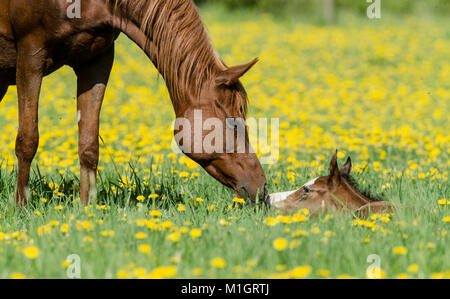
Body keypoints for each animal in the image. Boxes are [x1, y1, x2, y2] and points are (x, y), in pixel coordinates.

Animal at [0, 0, 268, 206]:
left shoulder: (96, 59)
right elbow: (28, 140)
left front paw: (87, 210)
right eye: (233, 122)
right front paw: (21, 207)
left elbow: (88, 144)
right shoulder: (31, 55)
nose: (261, 189)